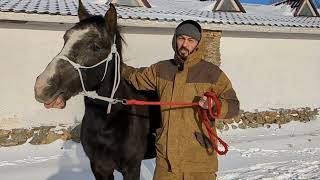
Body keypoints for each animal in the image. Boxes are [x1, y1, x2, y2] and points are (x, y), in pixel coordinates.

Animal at [33, 1, 160, 180]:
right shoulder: (99, 168)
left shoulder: (132, 169)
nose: (42, 86)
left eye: (96, 46)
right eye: (65, 38)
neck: (108, 124)